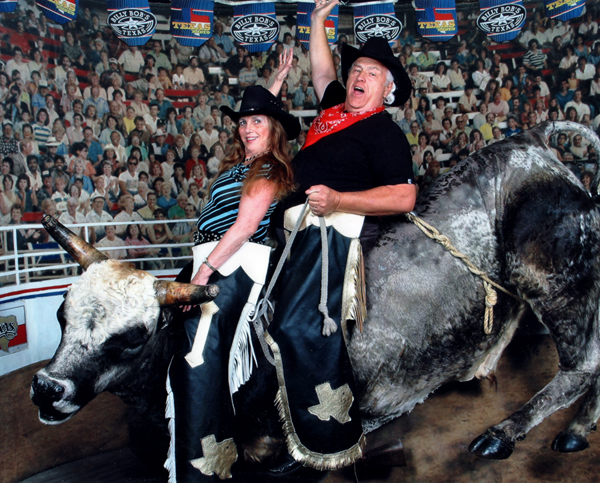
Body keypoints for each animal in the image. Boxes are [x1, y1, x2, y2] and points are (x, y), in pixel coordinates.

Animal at [32, 122, 600, 466]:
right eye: (61, 315)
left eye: (132, 337)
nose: (46, 387)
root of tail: (531, 145)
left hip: (554, 274)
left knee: (583, 363)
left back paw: (508, 431)